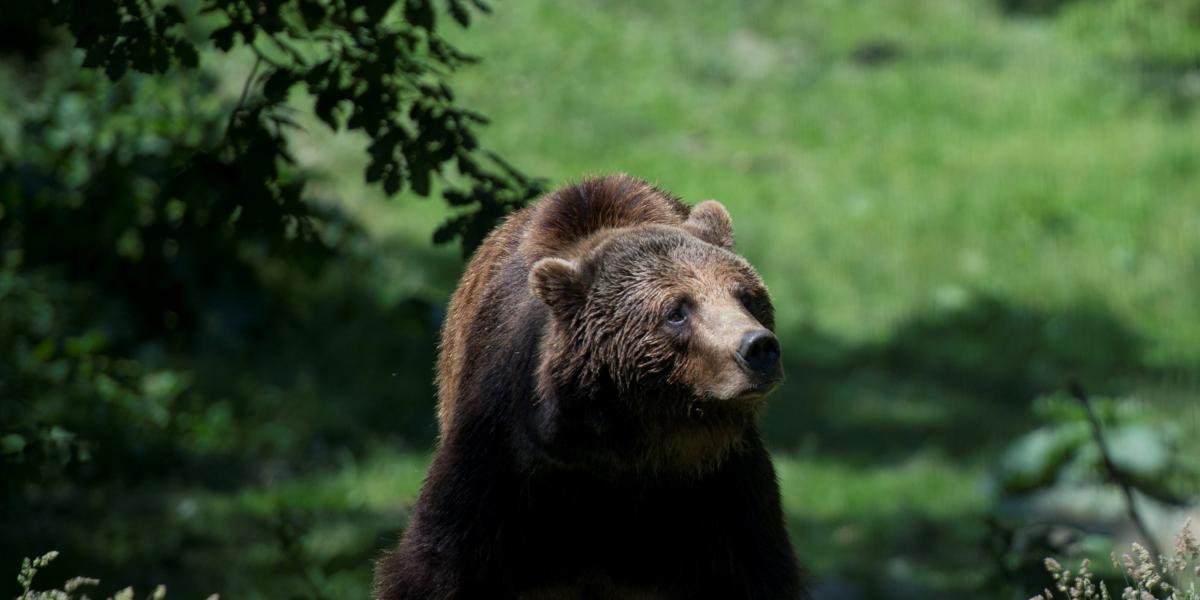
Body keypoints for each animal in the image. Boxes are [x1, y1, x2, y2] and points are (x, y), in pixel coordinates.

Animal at [374, 172, 806, 595]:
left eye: (745, 296)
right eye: (676, 311)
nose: (758, 348)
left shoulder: (718, 488)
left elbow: (752, 568)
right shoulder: (502, 460)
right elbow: (438, 566)